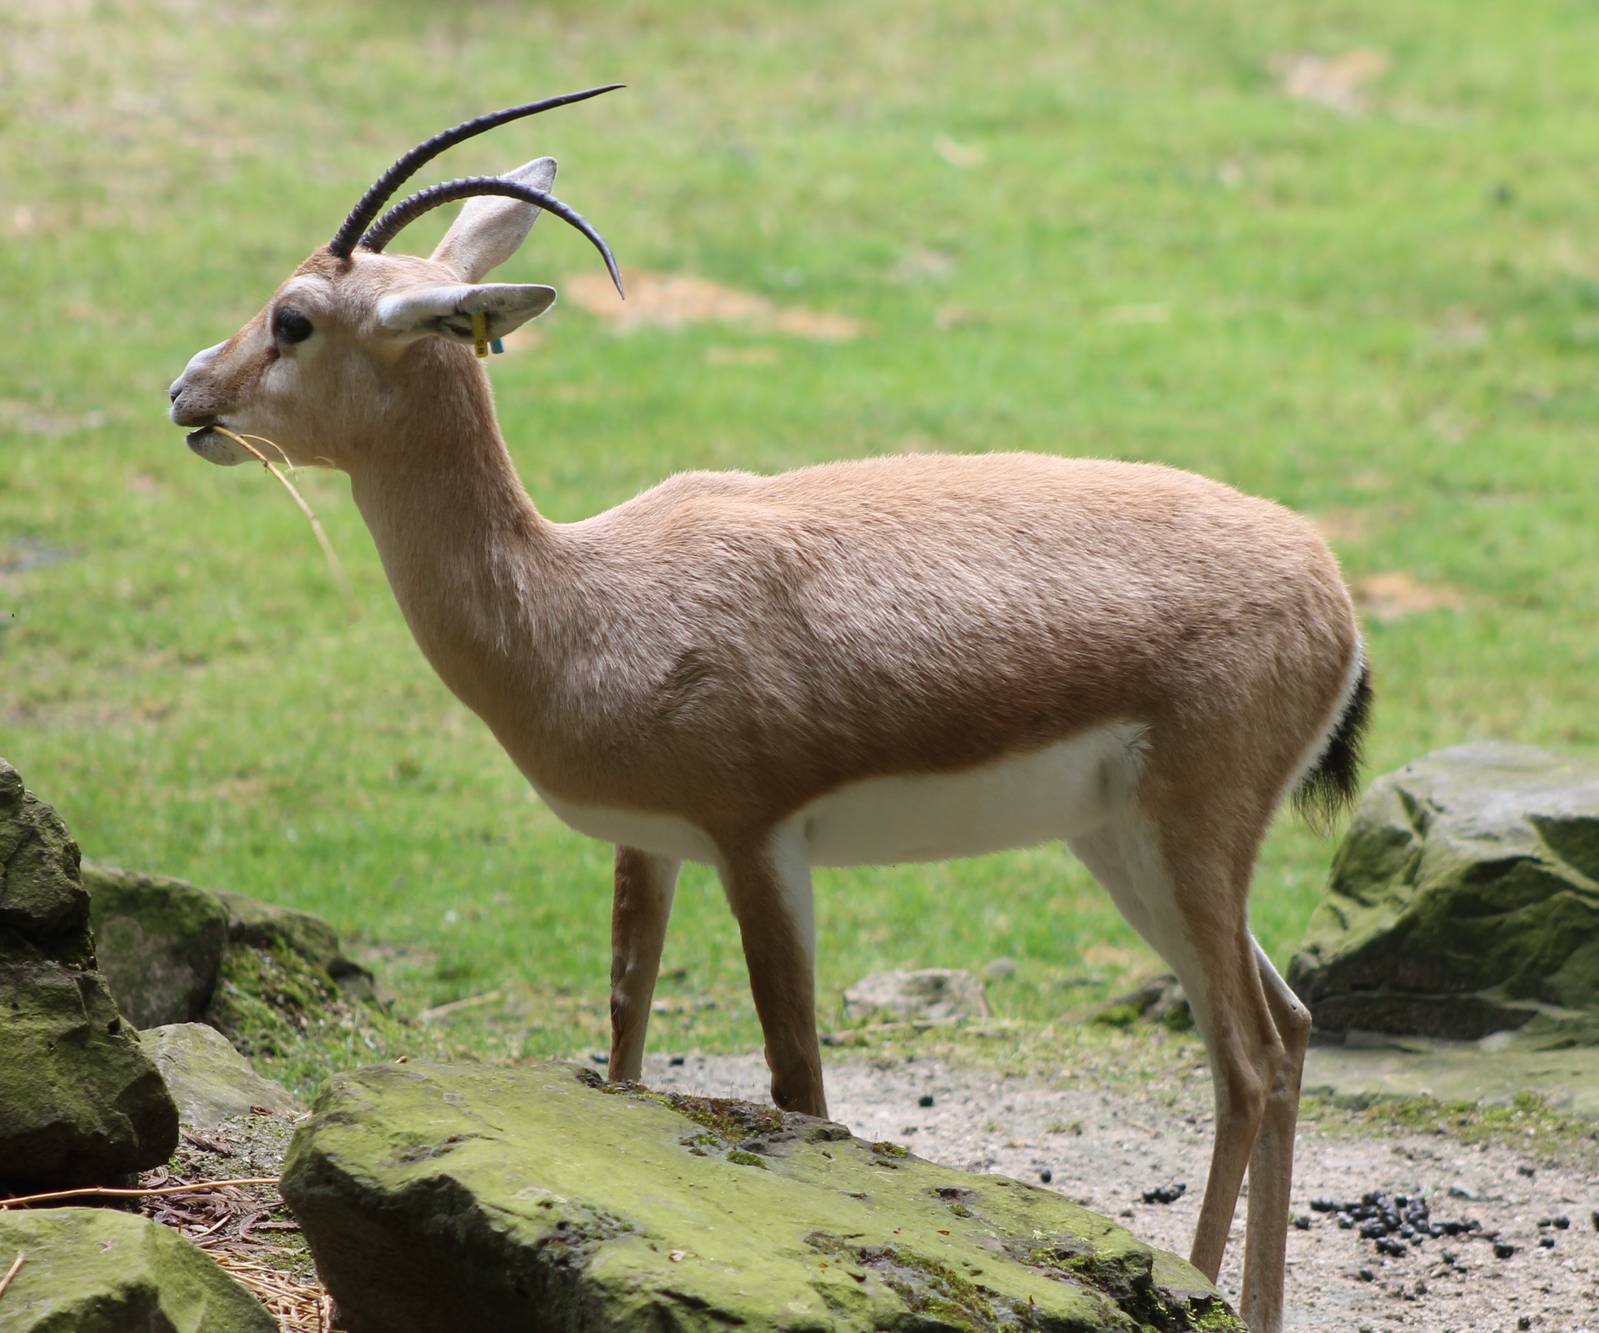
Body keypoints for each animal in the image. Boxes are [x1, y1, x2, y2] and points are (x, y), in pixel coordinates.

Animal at [167, 87, 1369, 1332]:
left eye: (296, 319)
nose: (187, 391)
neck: (579, 601)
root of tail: (1332, 588)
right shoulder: (649, 843)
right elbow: (625, 1038)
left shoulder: (759, 843)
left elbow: (799, 1081)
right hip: (1122, 844)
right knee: (1290, 1027)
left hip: (1188, 838)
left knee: (1247, 1054)